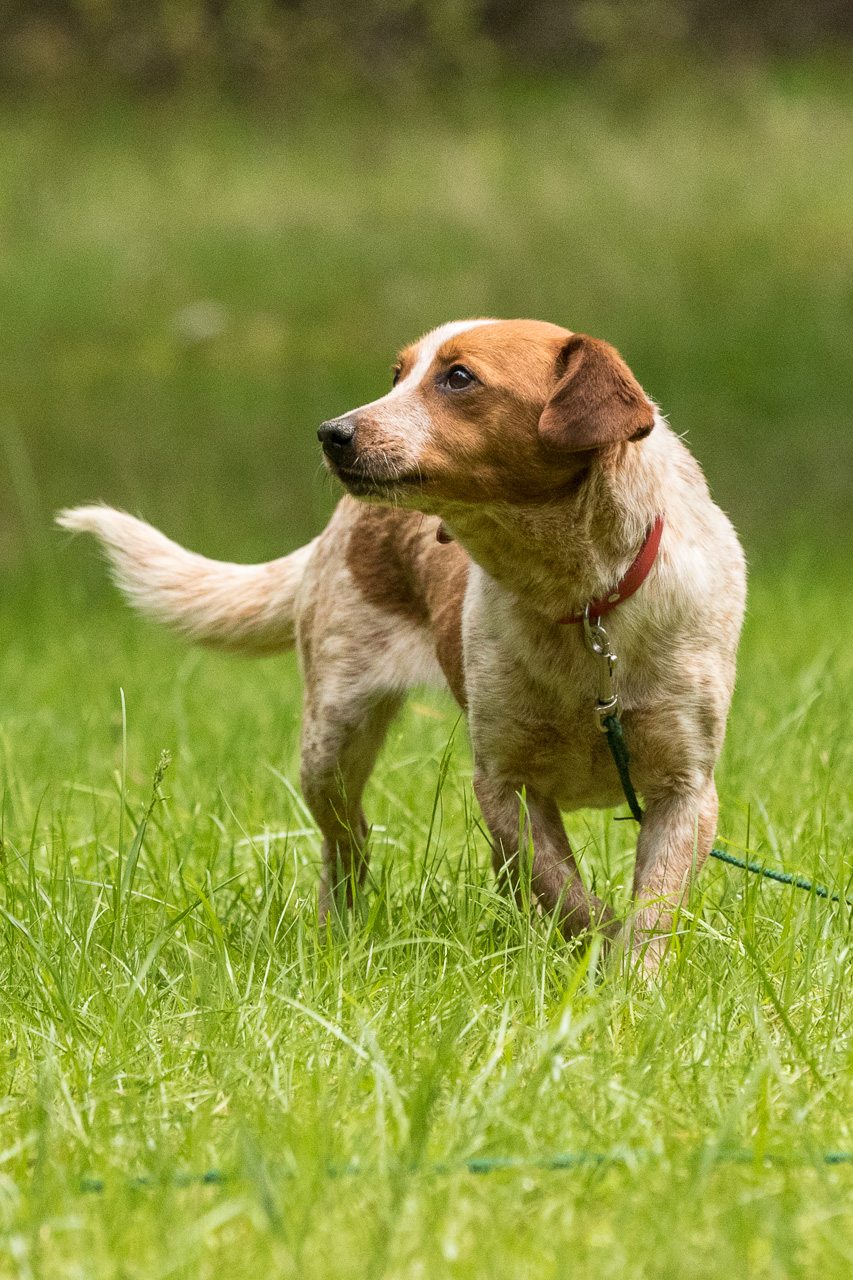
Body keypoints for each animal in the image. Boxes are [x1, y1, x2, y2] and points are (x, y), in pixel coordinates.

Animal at [58, 318, 746, 969]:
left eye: (459, 378)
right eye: (397, 374)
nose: (331, 432)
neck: (579, 602)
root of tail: (335, 526)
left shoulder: (686, 790)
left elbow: (650, 911)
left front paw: (631, 984)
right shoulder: (505, 783)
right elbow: (565, 894)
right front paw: (596, 950)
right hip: (330, 739)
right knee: (349, 842)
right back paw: (341, 933)